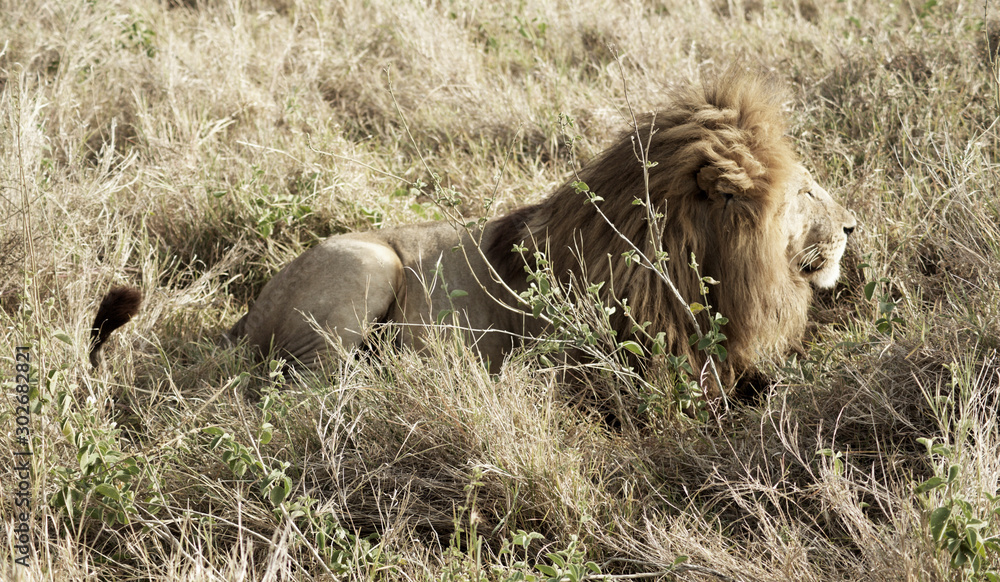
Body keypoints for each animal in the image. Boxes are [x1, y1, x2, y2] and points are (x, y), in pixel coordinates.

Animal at [95, 69, 860, 396]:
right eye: (806, 192)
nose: (853, 226)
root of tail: (244, 317)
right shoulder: (609, 372)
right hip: (367, 262)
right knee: (311, 383)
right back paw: (398, 378)